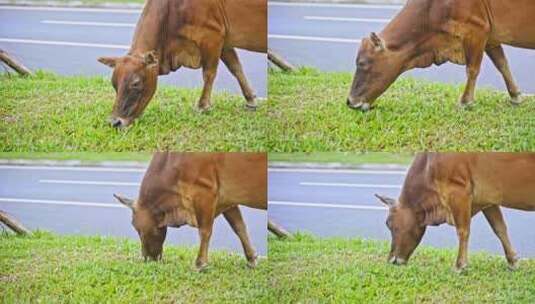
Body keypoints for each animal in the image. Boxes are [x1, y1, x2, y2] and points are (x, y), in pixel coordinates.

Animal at [97, 0, 268, 127]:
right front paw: (251, 100)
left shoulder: (212, 37)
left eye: (136, 83)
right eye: (114, 84)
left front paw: (203, 106)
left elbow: (209, 73)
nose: (114, 122)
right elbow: (236, 68)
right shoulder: (224, 42)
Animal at [116, 152, 268, 270]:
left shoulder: (205, 193)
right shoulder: (227, 201)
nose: (147, 258)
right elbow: (239, 227)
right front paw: (251, 259)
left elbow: (204, 231)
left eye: (136, 227)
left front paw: (200, 264)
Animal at [348, 0, 535, 111]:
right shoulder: (490, 38)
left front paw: (465, 101)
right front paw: (515, 96)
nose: (349, 102)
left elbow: (472, 69)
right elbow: (502, 64)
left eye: (362, 63)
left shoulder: (476, 30)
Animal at [376, 153, 535, 272]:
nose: (391, 260)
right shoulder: (488, 200)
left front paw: (460, 265)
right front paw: (512, 261)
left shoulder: (458, 191)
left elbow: (463, 230)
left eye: (389, 224)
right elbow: (499, 229)